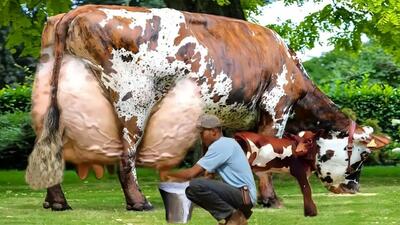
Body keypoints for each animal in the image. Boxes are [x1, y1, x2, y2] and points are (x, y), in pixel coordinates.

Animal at [28, 5, 390, 213]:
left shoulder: (224, 115)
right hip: (132, 100)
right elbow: (267, 154)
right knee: (125, 154)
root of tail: (75, 12)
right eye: (361, 156)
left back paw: (56, 201)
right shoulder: (276, 105)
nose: (355, 187)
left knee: (50, 146)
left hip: (57, 101)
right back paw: (138, 202)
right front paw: (270, 199)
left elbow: (221, 154)